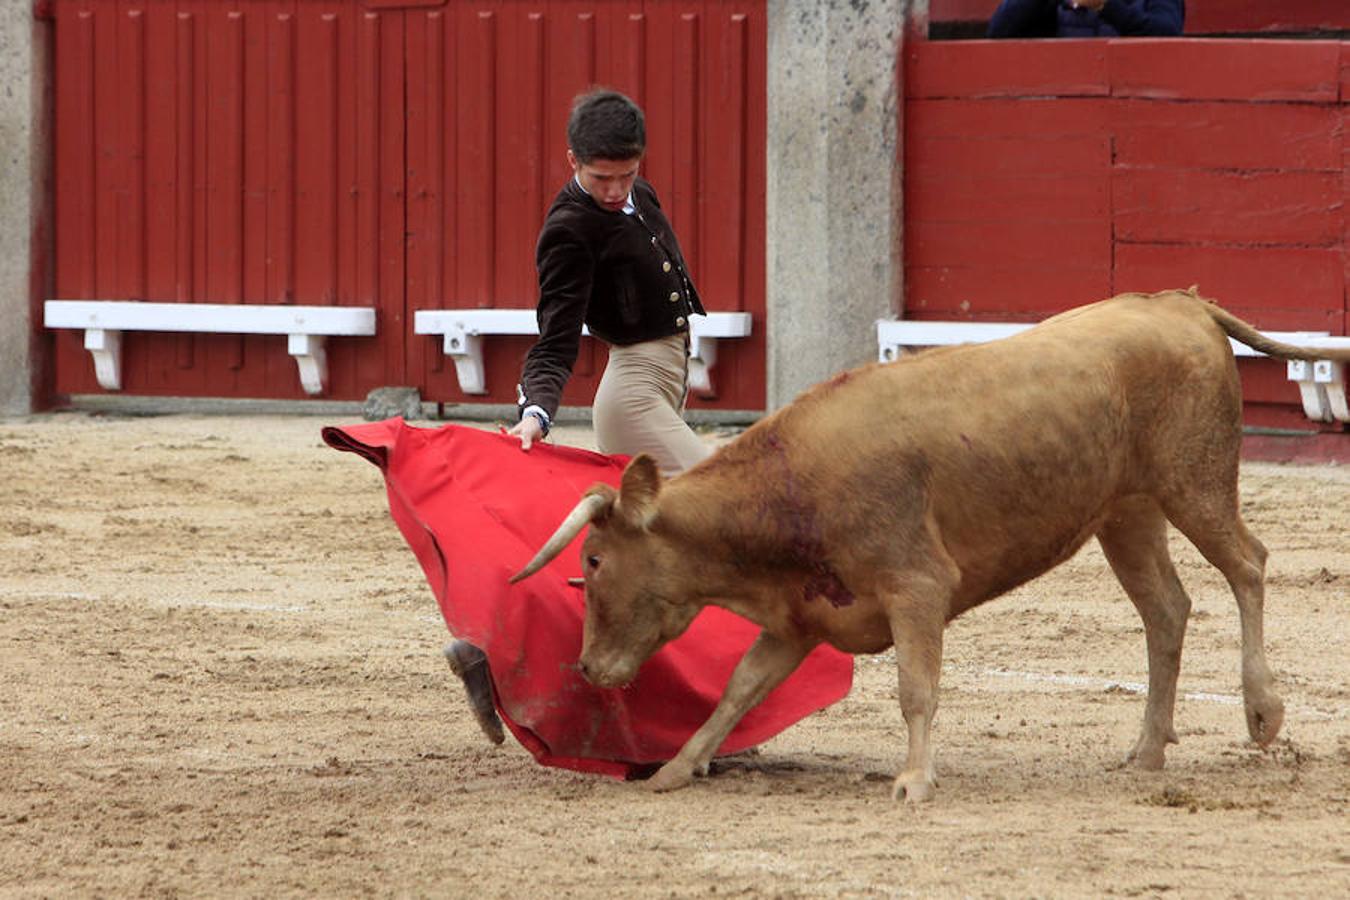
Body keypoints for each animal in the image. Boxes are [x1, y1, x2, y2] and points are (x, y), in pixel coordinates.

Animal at [510, 290, 1344, 804]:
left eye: (592, 560)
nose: (587, 667)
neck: (791, 488)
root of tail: (1180, 302)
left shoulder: (916, 587)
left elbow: (916, 688)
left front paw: (914, 779)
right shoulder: (798, 620)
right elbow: (739, 689)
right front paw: (678, 767)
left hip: (1195, 483)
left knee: (1248, 566)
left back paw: (1262, 712)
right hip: (1127, 514)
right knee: (1166, 611)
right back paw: (1145, 751)